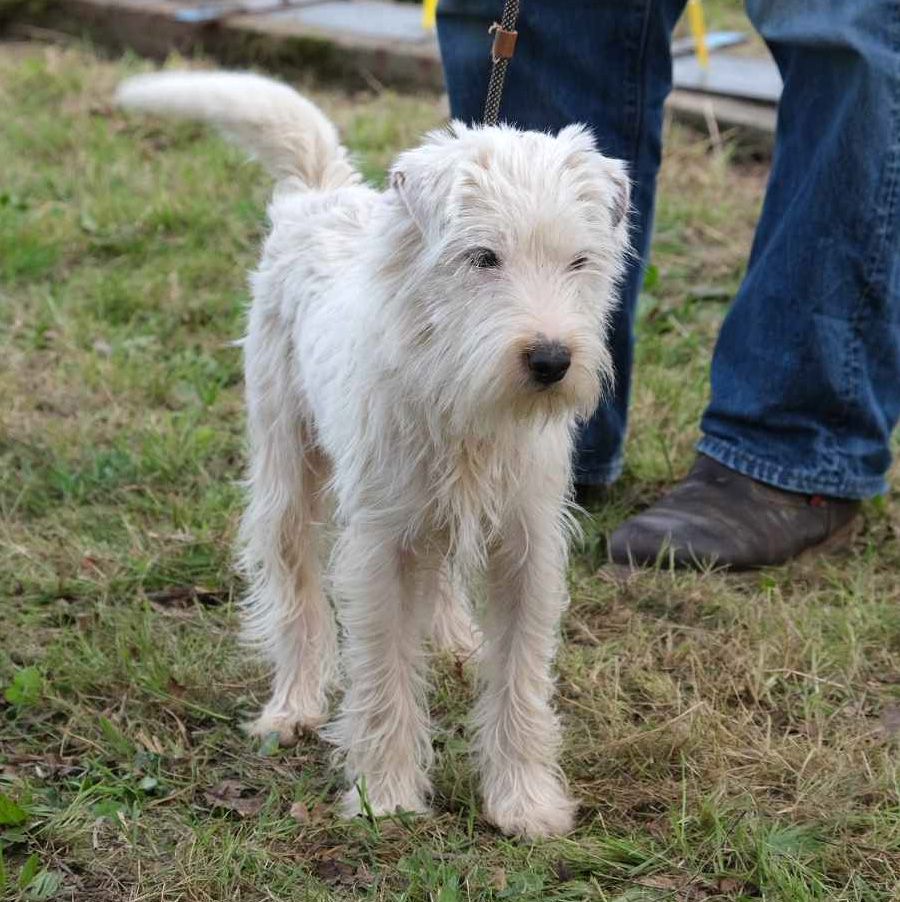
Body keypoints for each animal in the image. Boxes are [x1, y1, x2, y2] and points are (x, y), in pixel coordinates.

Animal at [116, 71, 630, 838]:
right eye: (483, 257)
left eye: (579, 261)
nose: (550, 360)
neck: (459, 392)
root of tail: (321, 193)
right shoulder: (382, 546)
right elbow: (384, 670)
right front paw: (384, 795)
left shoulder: (526, 546)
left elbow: (519, 678)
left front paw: (524, 802)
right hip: (286, 469)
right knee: (294, 590)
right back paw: (294, 706)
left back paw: (454, 640)